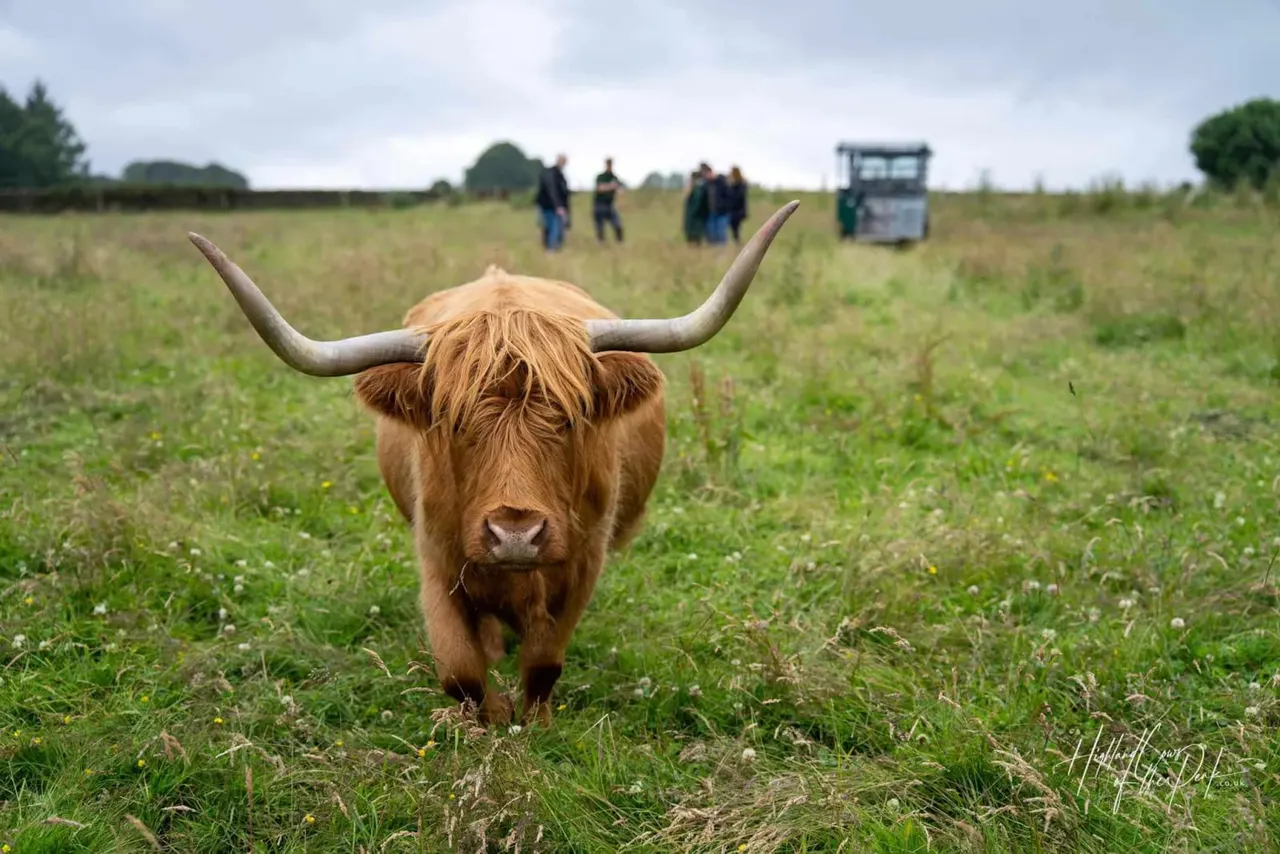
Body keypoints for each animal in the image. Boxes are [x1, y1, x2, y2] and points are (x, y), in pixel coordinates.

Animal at [186, 200, 799, 727]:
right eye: (455, 423)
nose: (515, 533)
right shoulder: (437, 556)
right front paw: (493, 716)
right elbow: (459, 671)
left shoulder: (584, 559)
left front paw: (537, 721)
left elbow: (545, 661)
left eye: (570, 419)